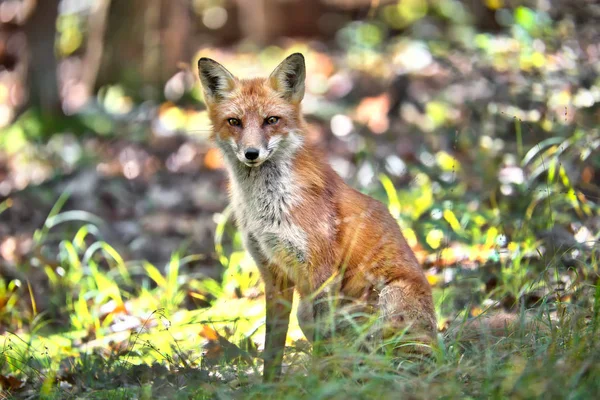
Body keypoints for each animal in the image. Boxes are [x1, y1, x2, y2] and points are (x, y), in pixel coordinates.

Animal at [199, 53, 438, 382]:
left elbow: (323, 347)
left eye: (271, 120)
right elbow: (273, 346)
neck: (267, 208)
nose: (251, 153)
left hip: (390, 299)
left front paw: (320, 382)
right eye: (234, 122)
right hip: (305, 312)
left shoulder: (321, 270)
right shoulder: (273, 274)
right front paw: (269, 386)